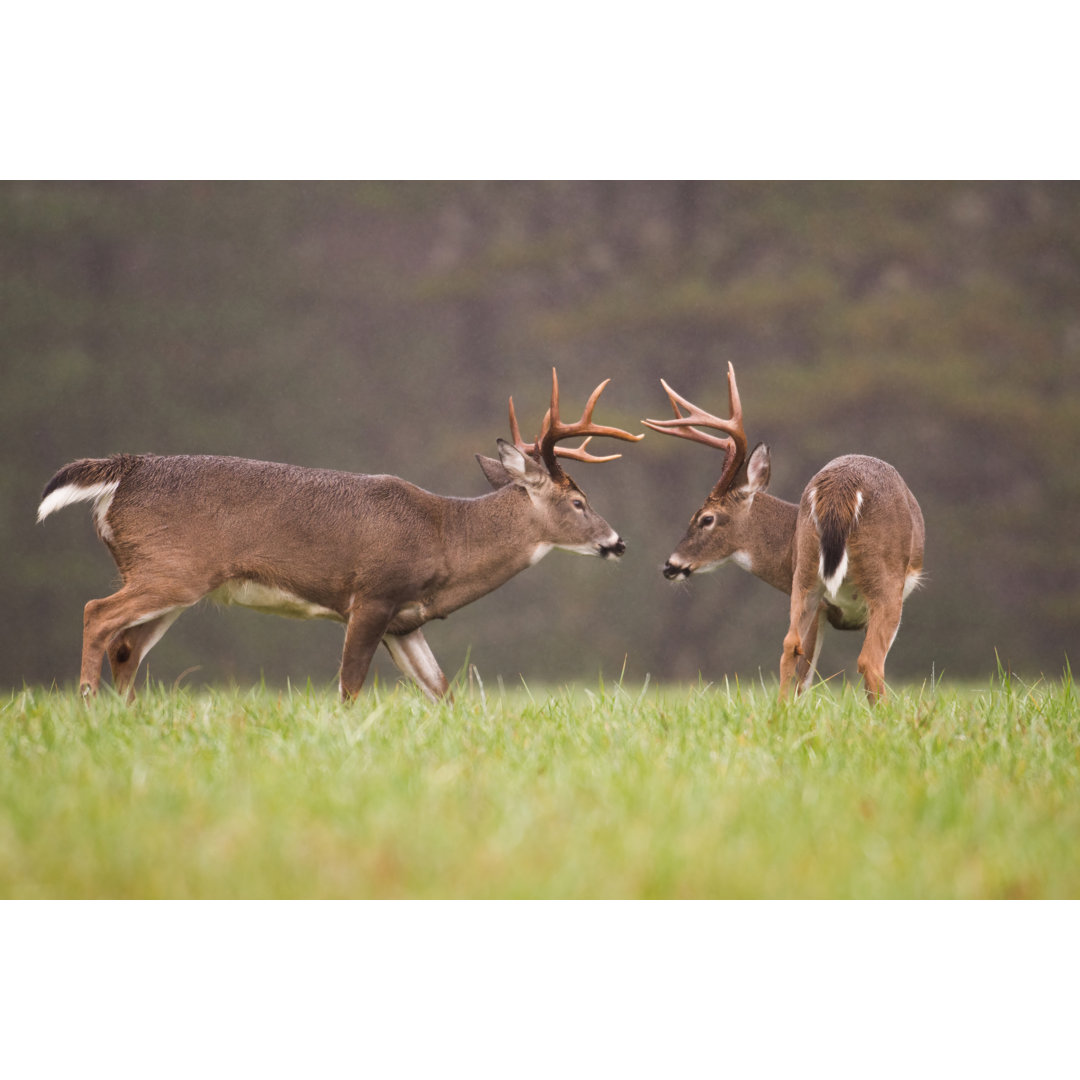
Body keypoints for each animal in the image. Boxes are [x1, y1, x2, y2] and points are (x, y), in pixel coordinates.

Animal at [38, 371, 639, 704]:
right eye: (579, 501)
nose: (618, 542)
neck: (445, 539)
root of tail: (124, 473)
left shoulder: (405, 621)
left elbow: (442, 691)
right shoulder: (371, 596)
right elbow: (349, 689)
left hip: (172, 580)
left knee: (126, 647)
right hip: (171, 569)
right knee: (97, 614)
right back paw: (88, 708)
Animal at [643, 362, 924, 699]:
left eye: (706, 518)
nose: (670, 566)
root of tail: (841, 489)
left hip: (806, 572)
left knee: (790, 646)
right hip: (882, 579)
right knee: (869, 661)